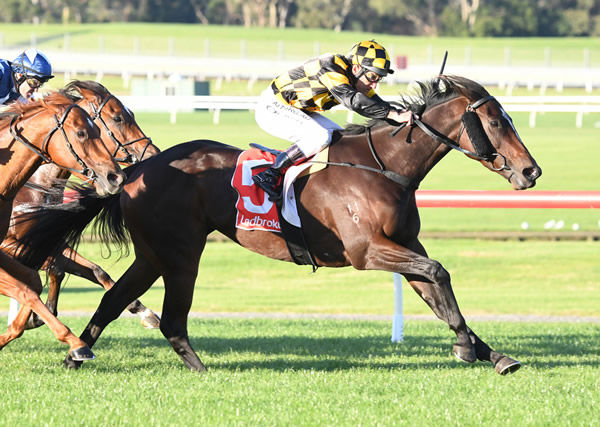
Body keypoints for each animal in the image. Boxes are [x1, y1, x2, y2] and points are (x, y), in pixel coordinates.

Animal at [0, 81, 162, 334]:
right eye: (118, 118)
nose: (154, 154)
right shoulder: (11, 246)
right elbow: (55, 268)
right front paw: (36, 316)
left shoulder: (49, 241)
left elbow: (95, 270)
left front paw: (144, 311)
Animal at [0, 91, 125, 362]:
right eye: (81, 133)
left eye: (97, 131)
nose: (116, 177)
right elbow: (27, 288)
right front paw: (77, 343)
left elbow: (32, 282)